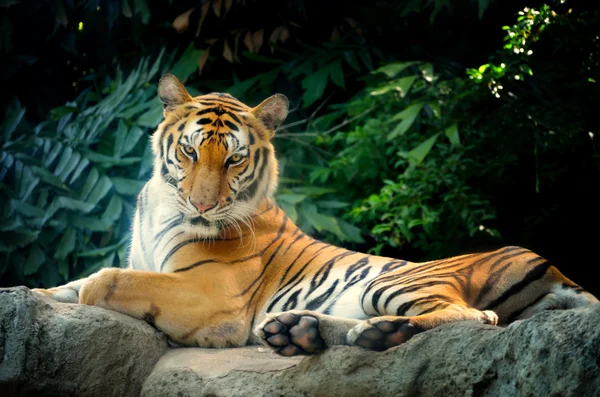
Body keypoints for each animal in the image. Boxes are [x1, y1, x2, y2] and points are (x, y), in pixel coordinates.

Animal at [34, 72, 600, 354]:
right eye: (190, 151)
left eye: (233, 158)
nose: (202, 205)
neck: (162, 205)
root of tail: (556, 267)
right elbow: (68, 284)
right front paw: (37, 295)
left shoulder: (211, 293)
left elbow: (107, 279)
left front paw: (85, 293)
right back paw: (298, 331)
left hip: (395, 282)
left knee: (477, 318)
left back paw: (374, 336)